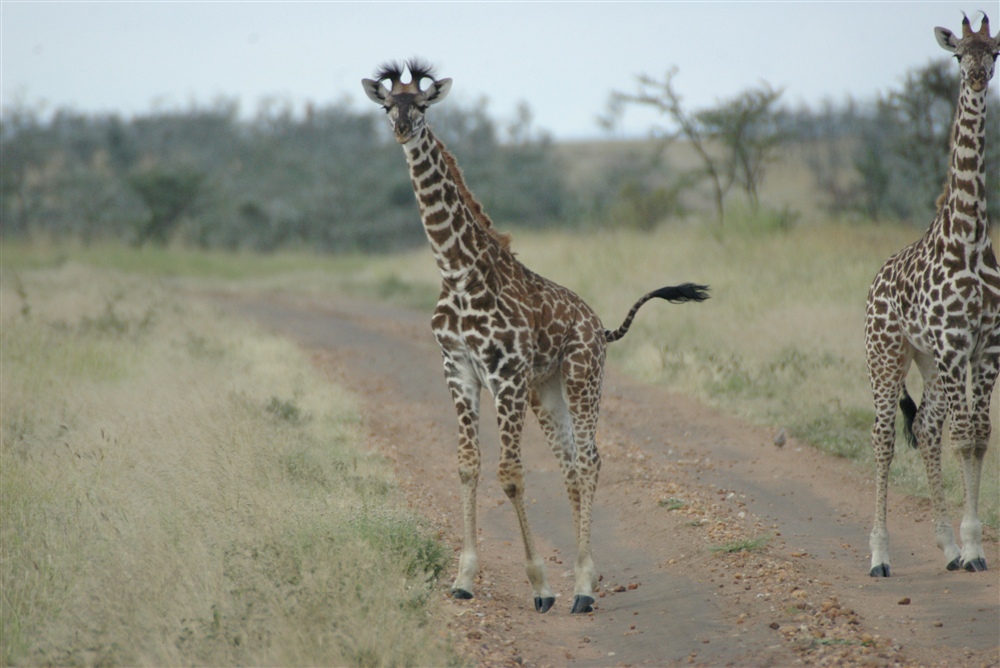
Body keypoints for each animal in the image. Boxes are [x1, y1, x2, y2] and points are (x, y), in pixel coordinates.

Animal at [364, 60, 708, 612]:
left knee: (590, 460)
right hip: (545, 391)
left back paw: (583, 589)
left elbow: (510, 473)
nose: (402, 129)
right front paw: (464, 578)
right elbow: (468, 466)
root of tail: (599, 325)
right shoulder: (457, 368)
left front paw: (540, 586)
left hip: (582, 377)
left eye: (422, 106)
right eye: (386, 106)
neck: (457, 271)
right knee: (569, 465)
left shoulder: (504, 372)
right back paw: (587, 575)